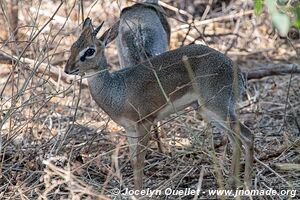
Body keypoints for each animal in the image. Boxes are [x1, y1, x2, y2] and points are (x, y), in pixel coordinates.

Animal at [65, 18, 253, 190]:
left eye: (90, 50)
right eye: (73, 46)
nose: (68, 69)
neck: (118, 90)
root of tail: (238, 71)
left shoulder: (145, 122)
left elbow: (140, 161)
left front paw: (139, 192)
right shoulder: (130, 129)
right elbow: (133, 161)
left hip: (217, 107)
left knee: (247, 135)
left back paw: (247, 184)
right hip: (207, 110)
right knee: (235, 140)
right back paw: (231, 184)